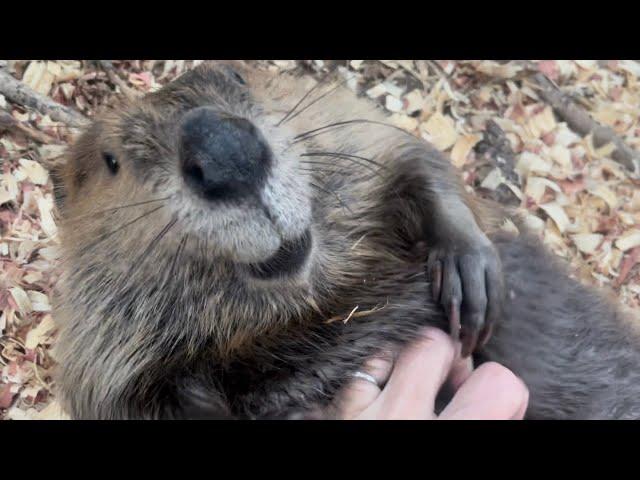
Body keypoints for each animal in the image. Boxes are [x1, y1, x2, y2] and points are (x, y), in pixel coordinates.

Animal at [51, 61, 640, 420]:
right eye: (110, 160)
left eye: (238, 75)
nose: (225, 153)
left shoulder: (350, 126)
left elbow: (413, 158)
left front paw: (470, 275)